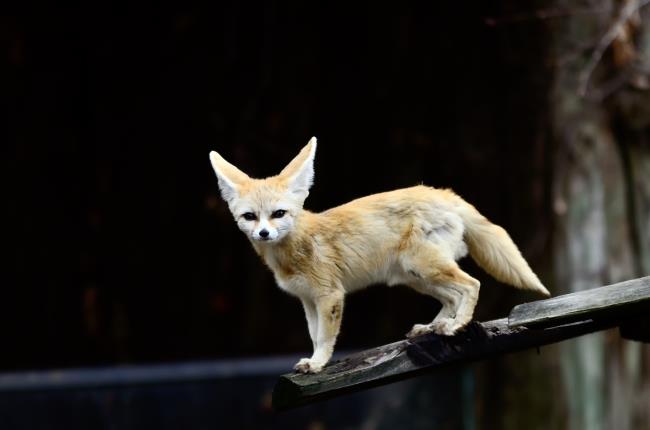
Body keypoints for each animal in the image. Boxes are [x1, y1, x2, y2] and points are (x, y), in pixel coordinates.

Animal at [208, 138, 548, 372]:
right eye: (250, 217)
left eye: (279, 214)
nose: (264, 234)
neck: (294, 250)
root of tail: (442, 193)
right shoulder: (308, 299)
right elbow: (314, 334)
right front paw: (314, 361)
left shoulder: (330, 296)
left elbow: (325, 338)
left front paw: (318, 364)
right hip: (415, 277)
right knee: (451, 297)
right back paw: (433, 327)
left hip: (424, 267)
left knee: (471, 285)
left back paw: (456, 326)